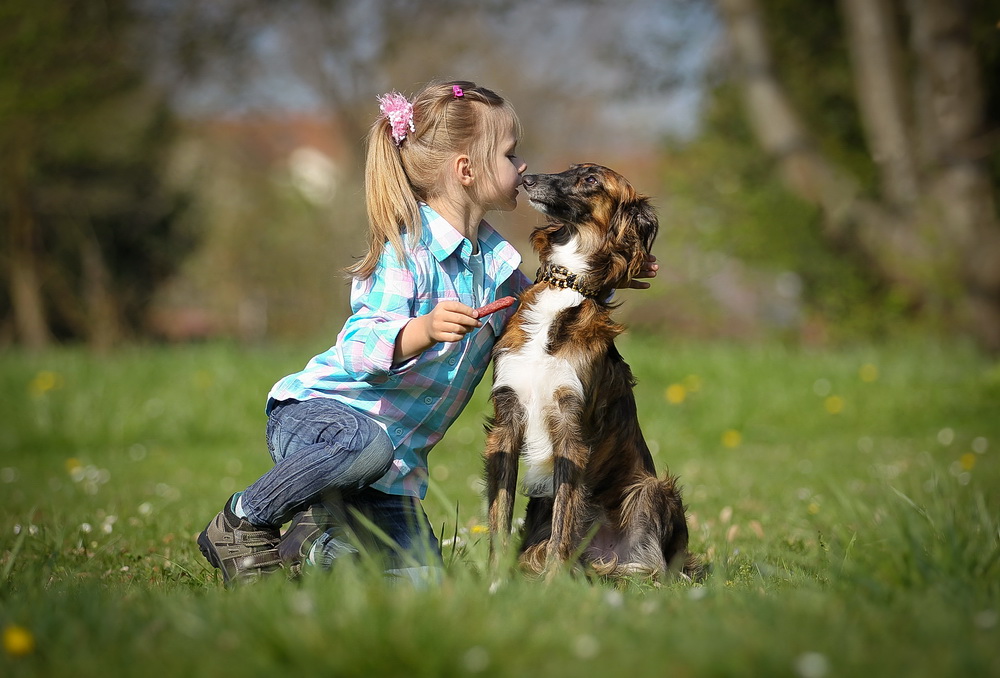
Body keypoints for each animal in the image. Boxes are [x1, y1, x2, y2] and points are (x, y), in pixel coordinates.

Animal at [486, 162, 704, 580]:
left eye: (590, 180)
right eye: (568, 169)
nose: (527, 178)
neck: (566, 286)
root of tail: (606, 557)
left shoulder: (572, 428)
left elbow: (564, 524)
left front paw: (552, 584)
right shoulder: (506, 418)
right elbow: (498, 513)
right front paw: (494, 580)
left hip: (653, 490)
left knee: (657, 569)